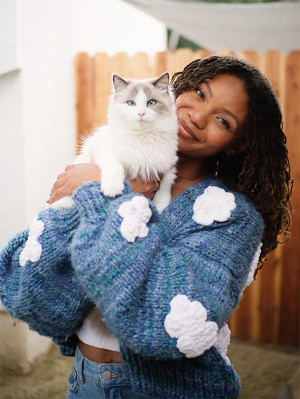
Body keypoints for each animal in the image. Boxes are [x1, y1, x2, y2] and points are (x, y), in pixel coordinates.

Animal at [51, 73, 178, 214]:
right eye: (131, 103)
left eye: (151, 103)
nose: (141, 113)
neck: (142, 137)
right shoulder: (107, 153)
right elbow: (114, 167)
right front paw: (112, 189)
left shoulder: (169, 165)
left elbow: (165, 186)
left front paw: (160, 207)